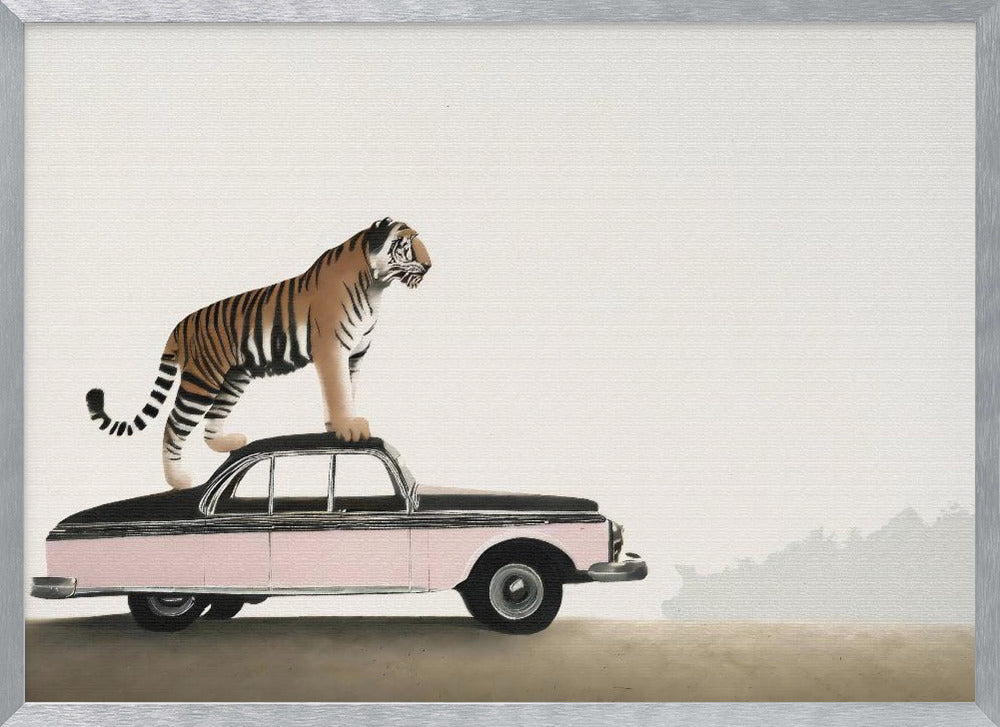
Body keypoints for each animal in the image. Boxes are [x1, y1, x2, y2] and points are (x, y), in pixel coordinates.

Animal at [85, 218, 431, 490]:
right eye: (407, 245)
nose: (430, 266)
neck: (376, 287)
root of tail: (179, 327)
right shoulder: (332, 350)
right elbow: (338, 392)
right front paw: (348, 428)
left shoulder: (354, 356)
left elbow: (347, 391)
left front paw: (337, 427)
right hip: (202, 380)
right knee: (173, 426)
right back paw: (179, 481)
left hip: (234, 378)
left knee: (211, 422)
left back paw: (229, 443)